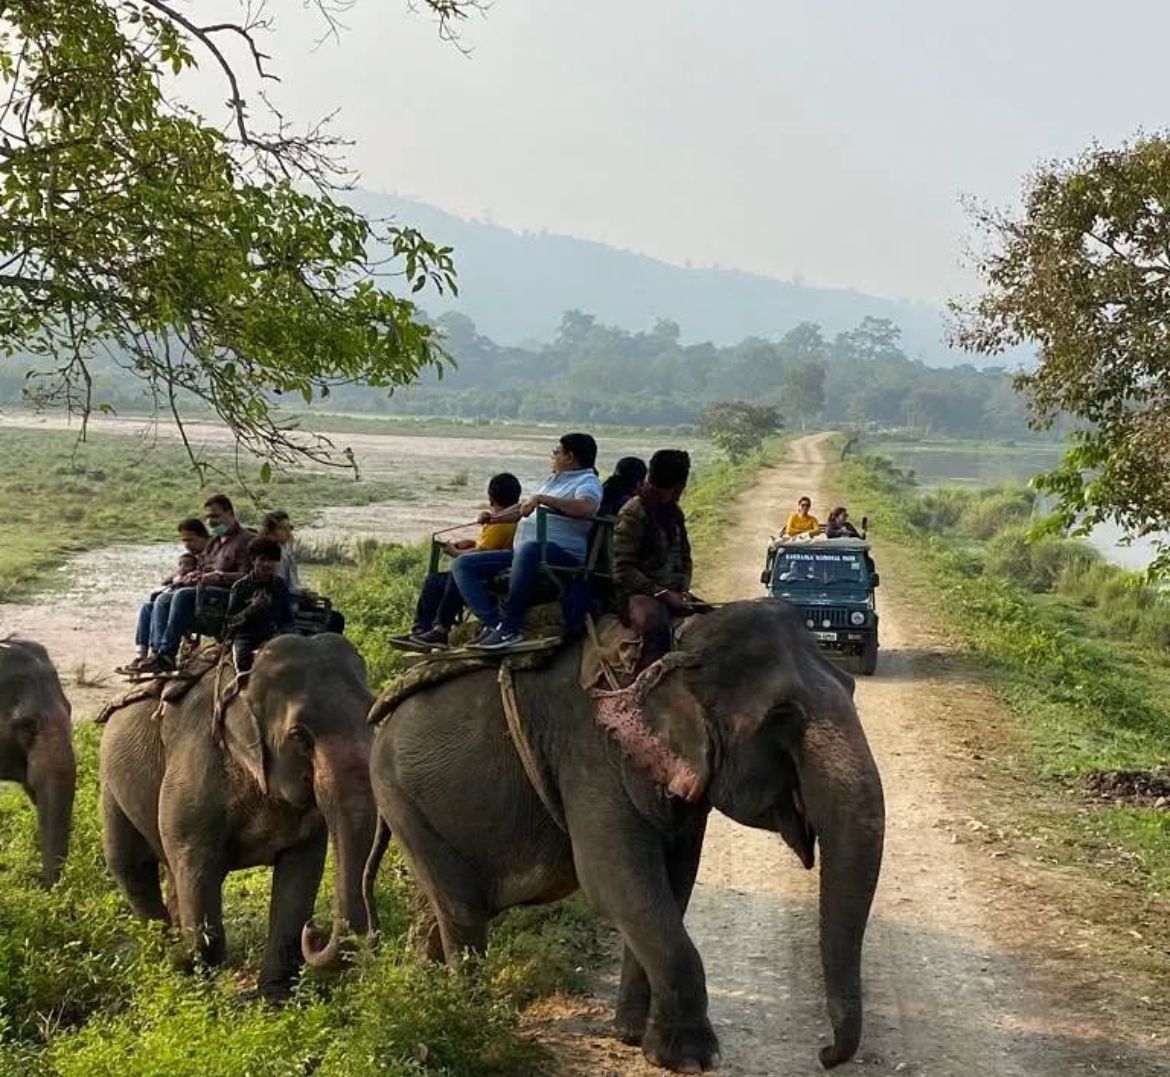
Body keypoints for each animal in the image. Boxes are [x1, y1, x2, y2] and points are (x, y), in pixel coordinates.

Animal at [99, 633, 377, 997]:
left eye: (372, 715)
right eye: (299, 736)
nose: (314, 933)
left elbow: (300, 873)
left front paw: (274, 1001)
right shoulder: (198, 759)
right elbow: (196, 864)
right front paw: (200, 996)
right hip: (111, 780)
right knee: (132, 866)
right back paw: (166, 954)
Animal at [366, 598, 884, 1072]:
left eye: (852, 687)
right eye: (782, 717)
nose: (824, 1054)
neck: (676, 643)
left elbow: (674, 881)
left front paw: (633, 1037)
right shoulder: (591, 750)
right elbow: (616, 882)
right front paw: (688, 1059)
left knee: (439, 907)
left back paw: (423, 994)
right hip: (397, 793)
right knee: (462, 909)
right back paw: (470, 1021)